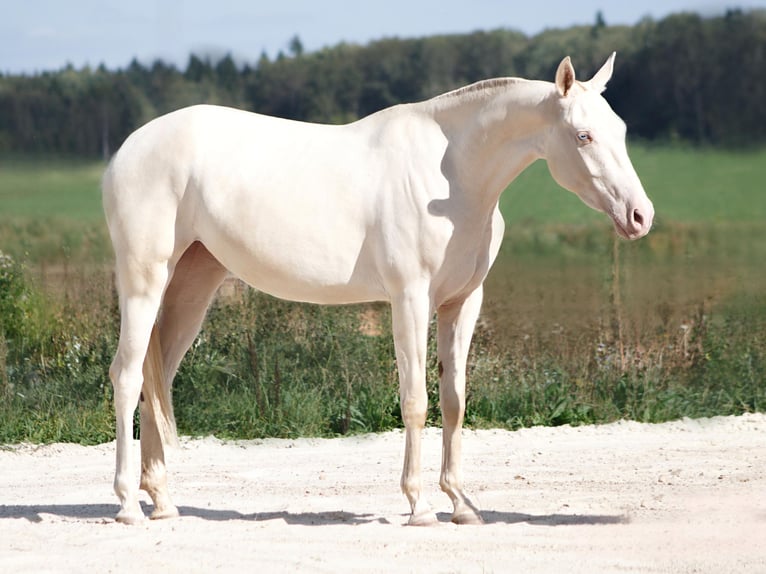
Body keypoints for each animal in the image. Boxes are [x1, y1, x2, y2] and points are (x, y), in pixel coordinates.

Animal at [100, 54, 656, 528]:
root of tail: (126, 149)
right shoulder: (410, 299)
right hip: (144, 282)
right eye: (582, 135)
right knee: (126, 375)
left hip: (193, 286)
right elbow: (415, 400)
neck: (449, 176)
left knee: (154, 378)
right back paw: (127, 505)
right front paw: (421, 506)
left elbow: (454, 400)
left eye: (623, 130)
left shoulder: (462, 304)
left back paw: (163, 502)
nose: (639, 216)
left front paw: (461, 504)